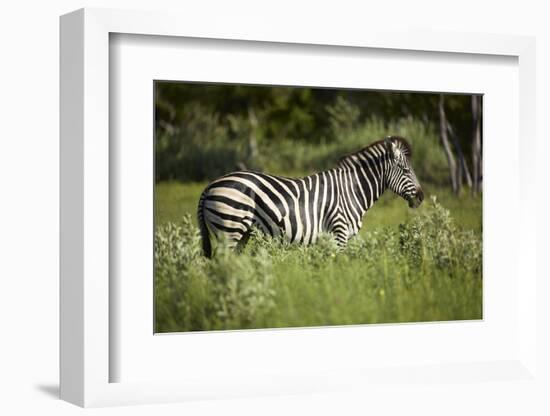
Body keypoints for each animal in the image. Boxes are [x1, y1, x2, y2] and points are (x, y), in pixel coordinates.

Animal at [196, 136, 424, 256]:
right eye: (406, 170)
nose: (421, 197)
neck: (352, 191)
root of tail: (210, 186)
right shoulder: (339, 232)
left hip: (240, 233)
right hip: (229, 228)